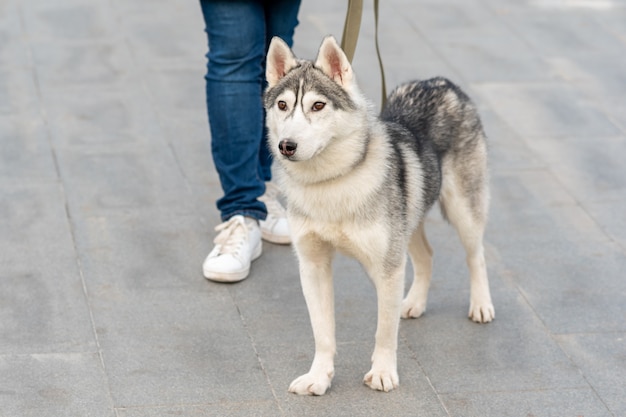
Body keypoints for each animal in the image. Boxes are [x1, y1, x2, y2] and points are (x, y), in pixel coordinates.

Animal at [264, 35, 492, 394]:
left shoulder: (388, 269)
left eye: (318, 106)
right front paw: (319, 377)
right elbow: (322, 332)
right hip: (408, 225)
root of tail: (440, 81)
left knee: (476, 255)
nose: (287, 145)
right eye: (283, 106)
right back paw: (413, 302)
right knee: (426, 256)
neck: (331, 182)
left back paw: (481, 304)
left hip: (463, 212)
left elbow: (384, 331)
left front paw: (383, 372)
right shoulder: (313, 265)